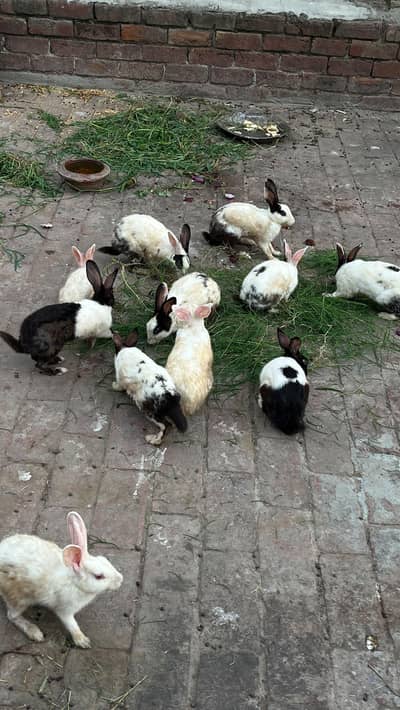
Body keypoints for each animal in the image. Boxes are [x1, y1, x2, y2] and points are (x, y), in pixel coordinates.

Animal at [0, 511, 123, 648]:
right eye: (99, 576)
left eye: (105, 560)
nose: (120, 580)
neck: (74, 582)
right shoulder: (64, 610)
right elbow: (72, 625)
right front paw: (83, 641)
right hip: (17, 598)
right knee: (12, 616)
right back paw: (35, 632)